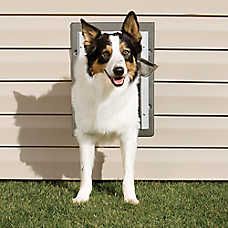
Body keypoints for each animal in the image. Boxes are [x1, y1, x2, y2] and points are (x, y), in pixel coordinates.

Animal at [71, 11, 155, 205]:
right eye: (105, 54)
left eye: (126, 52)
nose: (119, 71)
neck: (108, 93)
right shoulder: (85, 135)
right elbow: (85, 170)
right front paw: (82, 196)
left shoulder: (129, 135)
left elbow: (128, 172)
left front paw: (130, 197)